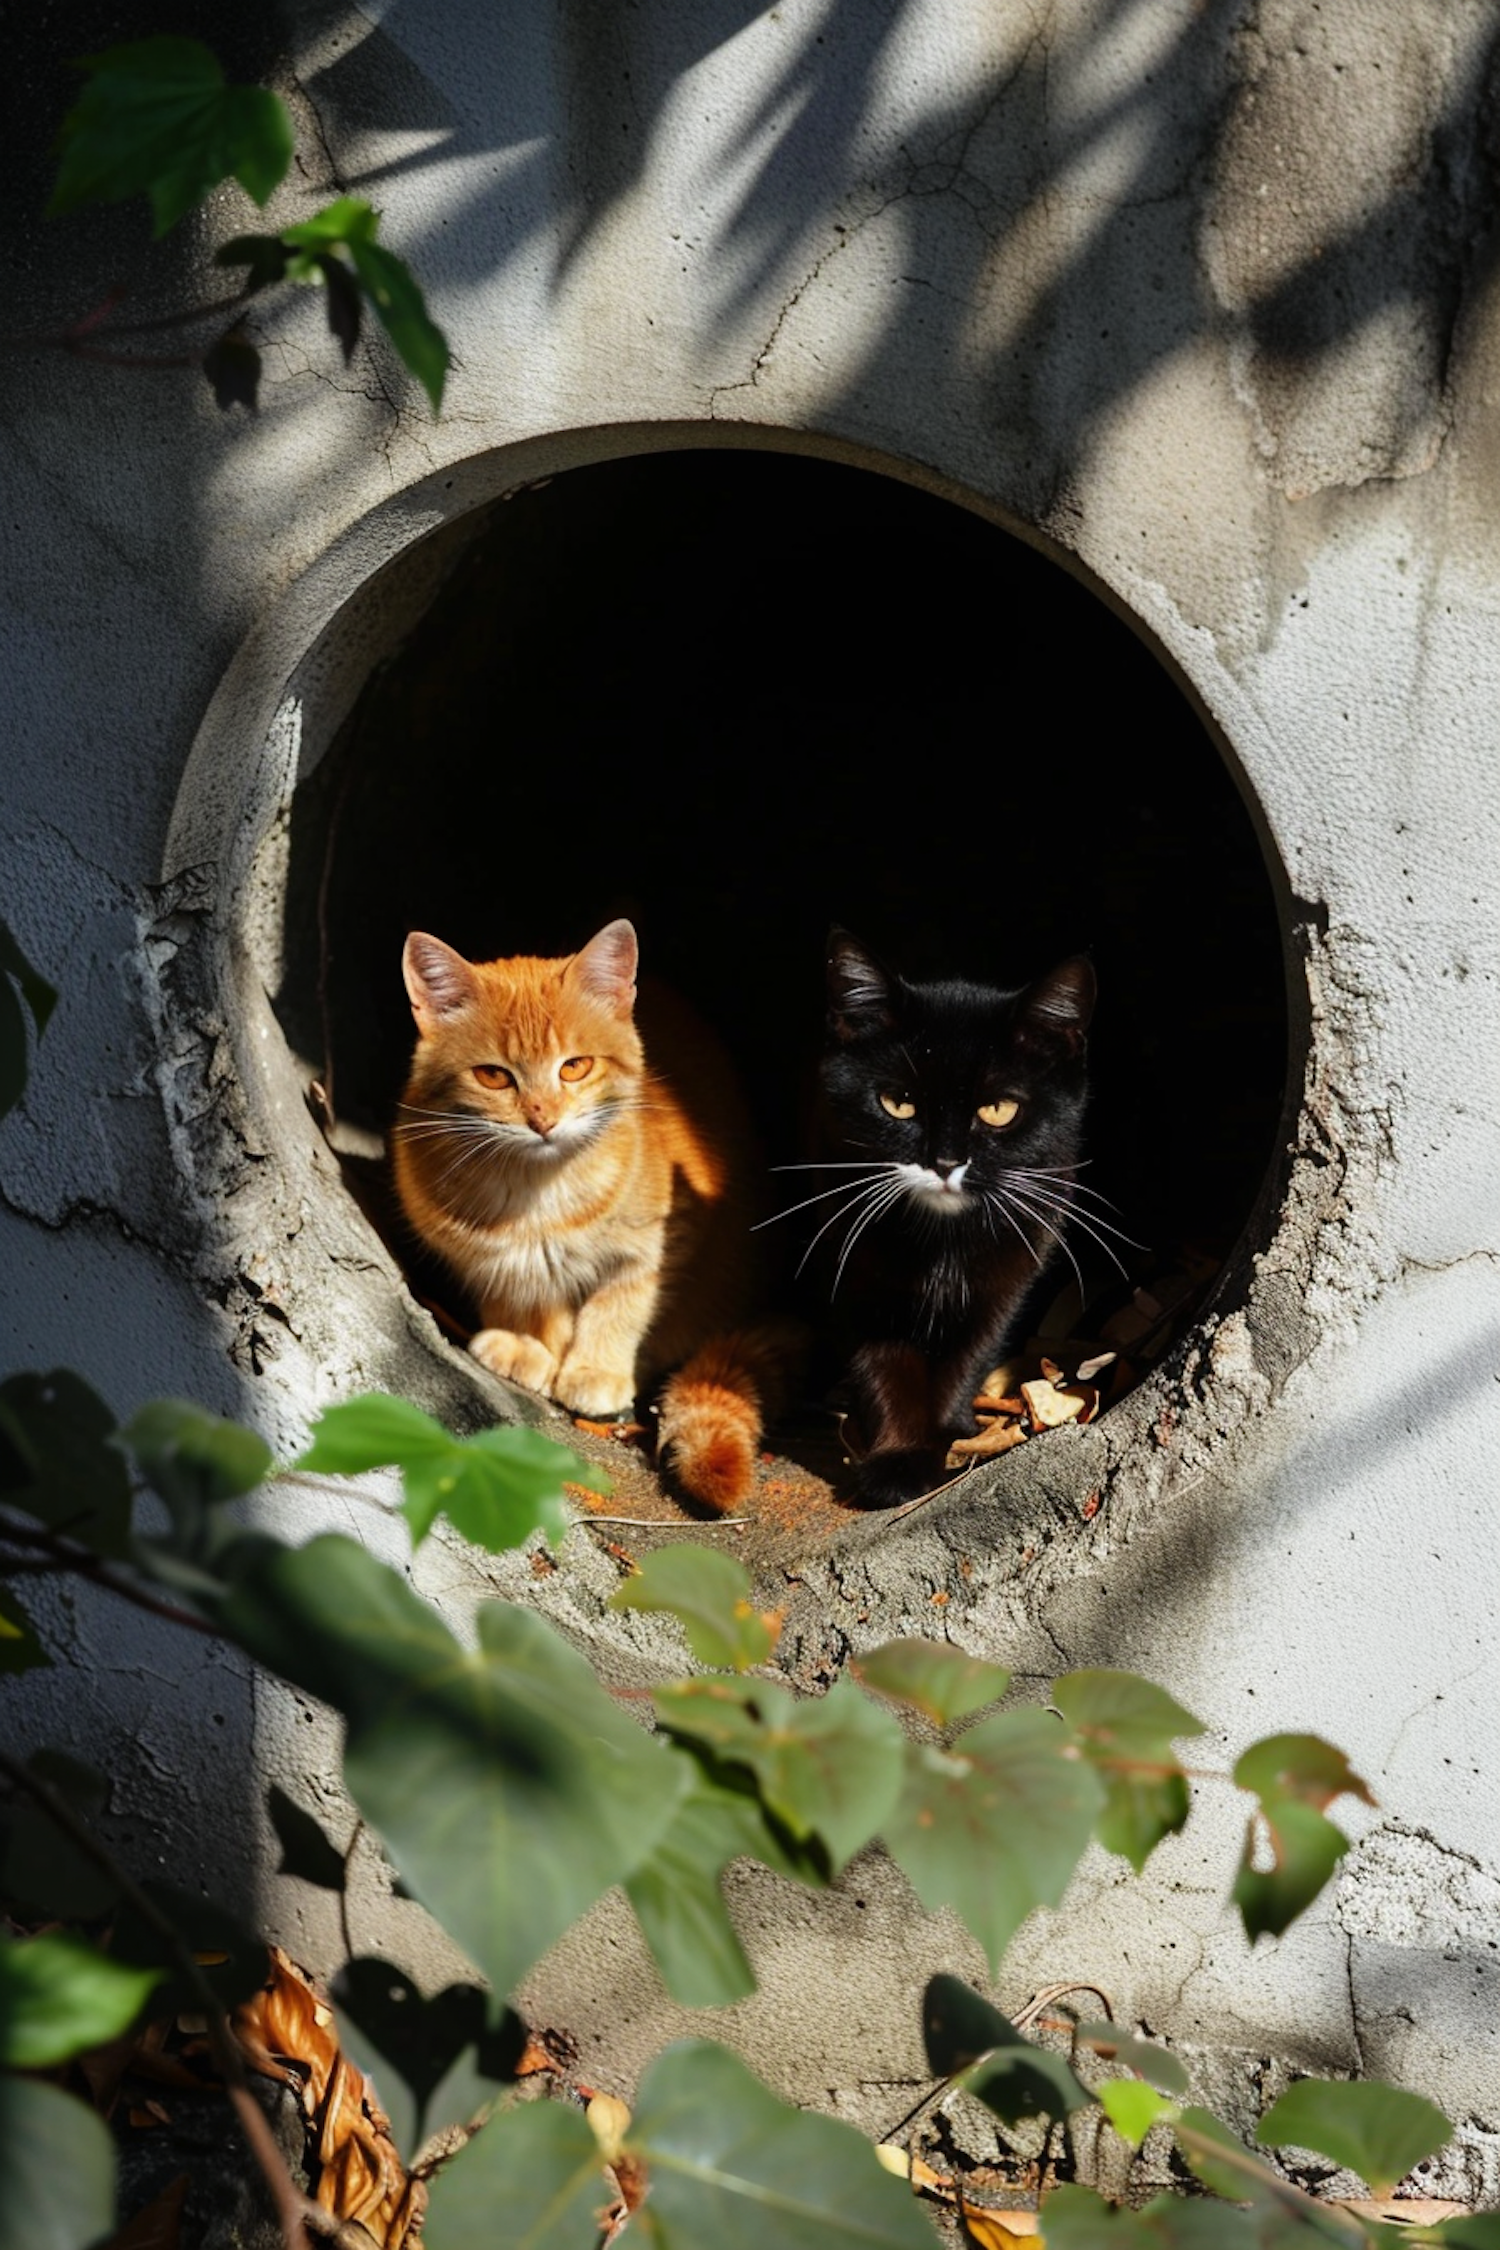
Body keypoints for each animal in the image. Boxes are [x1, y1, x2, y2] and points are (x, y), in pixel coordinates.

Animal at [393, 913, 782, 1512]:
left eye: (574, 1068)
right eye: (494, 1076)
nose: (542, 1119)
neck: (535, 1192)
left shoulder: (660, 1247)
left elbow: (618, 1307)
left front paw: (595, 1367)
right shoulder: (488, 1260)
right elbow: (526, 1300)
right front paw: (529, 1349)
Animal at [796, 931, 1101, 1512]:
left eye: (999, 1110)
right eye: (897, 1103)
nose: (944, 1161)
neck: (942, 1239)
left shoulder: (1013, 1269)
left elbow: (972, 1351)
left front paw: (947, 1434)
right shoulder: (851, 1261)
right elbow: (882, 1364)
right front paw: (897, 1461)